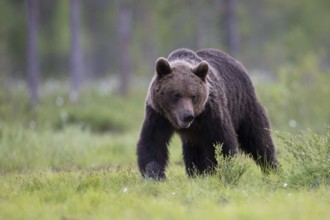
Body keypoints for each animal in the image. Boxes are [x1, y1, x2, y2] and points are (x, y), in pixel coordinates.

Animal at [137, 47, 278, 180]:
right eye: (176, 94)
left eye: (193, 96)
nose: (188, 116)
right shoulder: (158, 115)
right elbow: (153, 143)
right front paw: (154, 175)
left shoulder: (210, 113)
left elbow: (222, 141)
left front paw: (223, 171)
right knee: (193, 150)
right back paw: (196, 173)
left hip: (243, 105)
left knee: (258, 138)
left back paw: (272, 168)